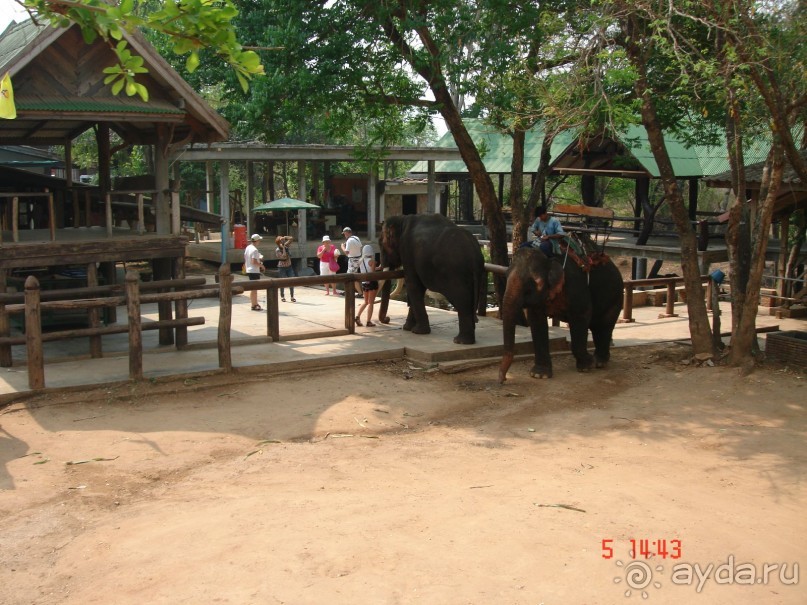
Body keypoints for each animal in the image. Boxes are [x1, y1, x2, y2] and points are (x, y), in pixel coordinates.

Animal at [378, 214, 486, 344]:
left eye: (380, 244)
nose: (387, 319)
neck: (402, 219)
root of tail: (475, 253)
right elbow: (419, 289)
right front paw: (408, 328)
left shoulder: (407, 252)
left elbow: (413, 285)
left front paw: (417, 331)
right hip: (477, 274)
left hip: (457, 274)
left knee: (463, 302)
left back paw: (460, 341)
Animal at [498, 243, 624, 380]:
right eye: (506, 275)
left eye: (537, 282)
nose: (502, 379)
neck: (548, 258)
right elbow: (536, 321)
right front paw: (539, 374)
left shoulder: (575, 286)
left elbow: (581, 316)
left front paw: (586, 366)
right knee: (597, 327)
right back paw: (599, 360)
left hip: (616, 297)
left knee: (604, 326)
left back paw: (599, 362)